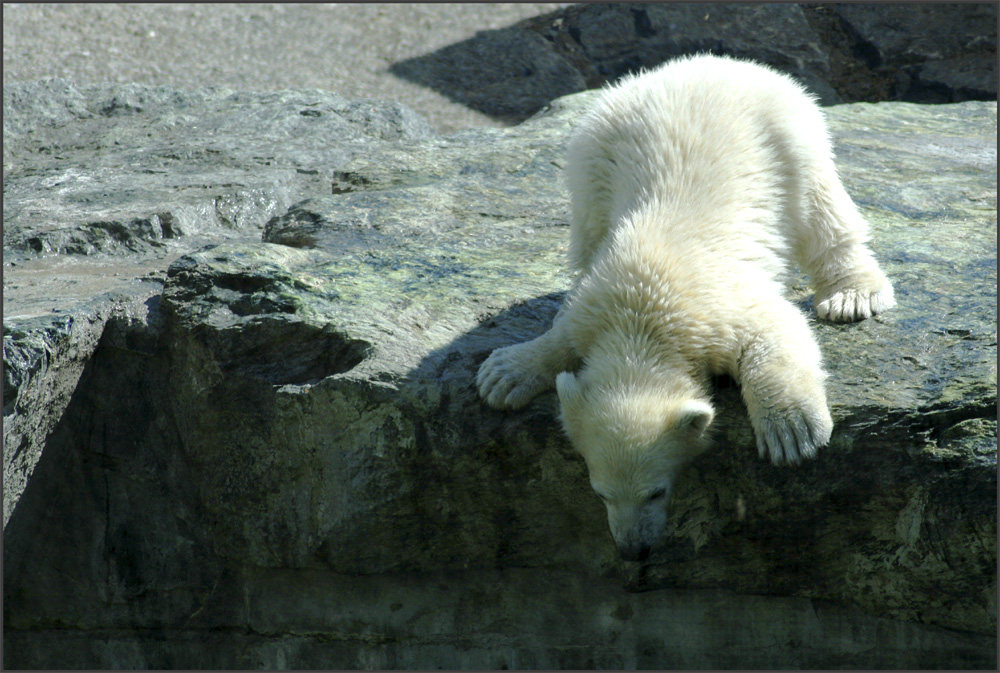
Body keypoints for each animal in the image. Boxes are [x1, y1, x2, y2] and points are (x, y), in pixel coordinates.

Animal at [476, 55, 900, 560]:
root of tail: (707, 62)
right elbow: (561, 336)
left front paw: (792, 431)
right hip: (596, 147)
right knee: (586, 224)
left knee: (823, 214)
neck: (641, 315)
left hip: (790, 137)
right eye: (600, 493)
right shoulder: (594, 306)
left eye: (656, 492)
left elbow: (775, 331)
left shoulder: (717, 307)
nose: (632, 550)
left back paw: (852, 294)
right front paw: (503, 373)